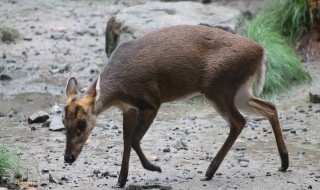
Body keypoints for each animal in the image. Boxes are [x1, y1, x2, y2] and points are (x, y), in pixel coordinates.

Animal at [63, 24, 288, 188]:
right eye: (63, 122)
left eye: (82, 123)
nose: (68, 158)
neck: (118, 91)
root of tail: (262, 51)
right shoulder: (128, 109)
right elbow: (126, 141)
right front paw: (121, 180)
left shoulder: (151, 101)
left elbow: (134, 140)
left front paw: (154, 168)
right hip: (239, 90)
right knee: (270, 107)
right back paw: (284, 163)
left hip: (219, 87)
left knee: (239, 121)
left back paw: (209, 171)